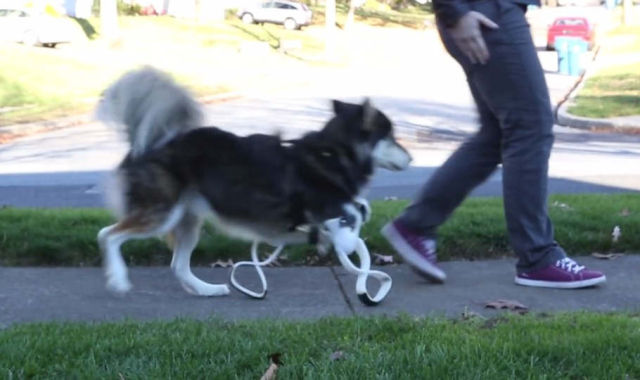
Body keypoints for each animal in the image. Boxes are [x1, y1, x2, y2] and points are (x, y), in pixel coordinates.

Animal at [97, 67, 412, 296]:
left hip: (188, 218)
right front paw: (343, 240)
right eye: (391, 136)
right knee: (107, 235)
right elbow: (349, 223)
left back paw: (206, 289)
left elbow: (357, 210)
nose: (411, 159)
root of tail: (152, 143)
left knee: (178, 265)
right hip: (163, 213)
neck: (332, 155)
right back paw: (119, 279)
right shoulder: (328, 209)